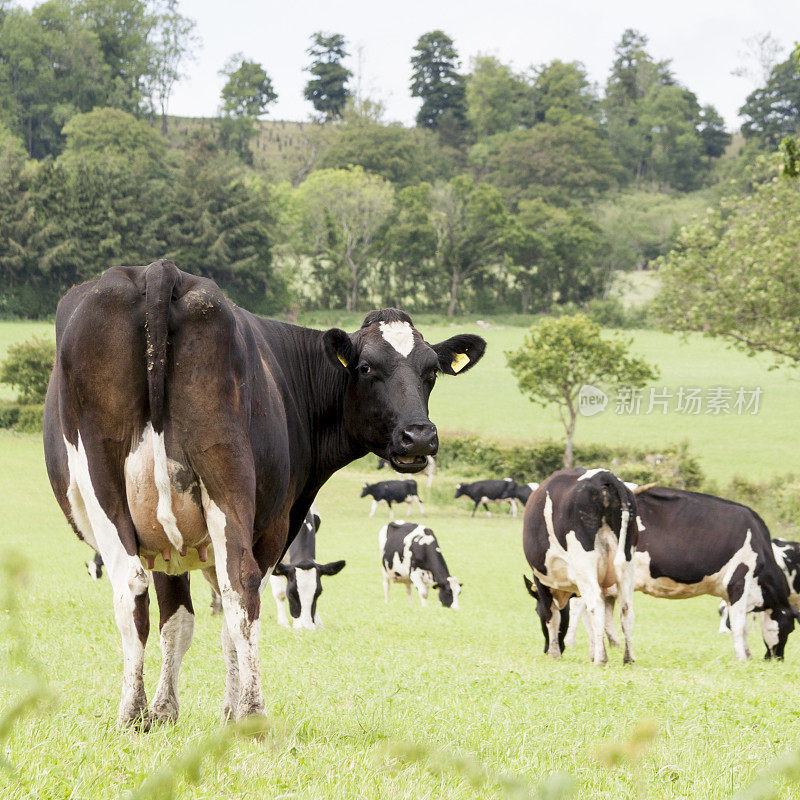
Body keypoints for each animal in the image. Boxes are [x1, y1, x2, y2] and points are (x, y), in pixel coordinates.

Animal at [45, 260, 488, 724]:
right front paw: (182, 710)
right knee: (220, 588)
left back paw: (155, 712)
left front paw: (178, 710)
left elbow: (188, 619)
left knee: (176, 586)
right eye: (366, 368)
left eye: (431, 372)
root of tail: (160, 270)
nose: (418, 437)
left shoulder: (181, 541)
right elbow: (197, 619)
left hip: (170, 479)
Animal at [520, 466, 640, 664]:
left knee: (596, 604)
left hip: (585, 564)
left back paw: (601, 660)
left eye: (535, 612)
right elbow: (586, 618)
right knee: (626, 608)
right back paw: (628, 658)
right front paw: (592, 651)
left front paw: (554, 653)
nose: (545, 649)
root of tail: (603, 476)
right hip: (627, 562)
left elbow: (552, 615)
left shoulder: (541, 580)